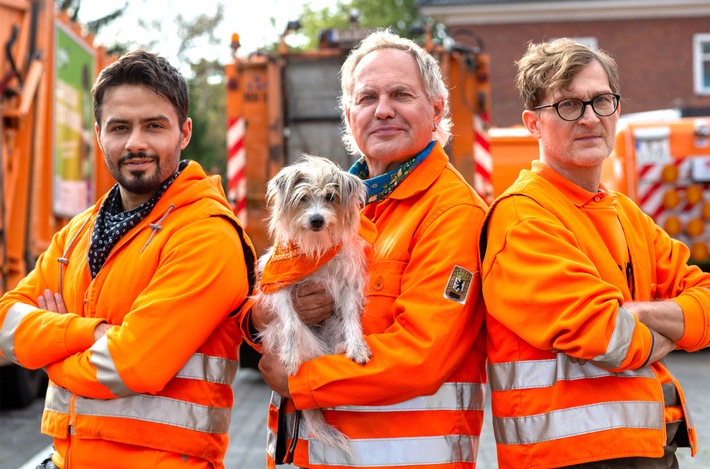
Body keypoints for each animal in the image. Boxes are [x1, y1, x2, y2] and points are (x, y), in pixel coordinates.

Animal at [258, 155, 378, 452]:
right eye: (302, 198)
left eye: (331, 197)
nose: (316, 220)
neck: (314, 248)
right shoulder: (278, 287)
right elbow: (290, 323)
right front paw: (290, 358)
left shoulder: (346, 284)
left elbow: (352, 318)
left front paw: (357, 346)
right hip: (305, 338)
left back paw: (343, 347)